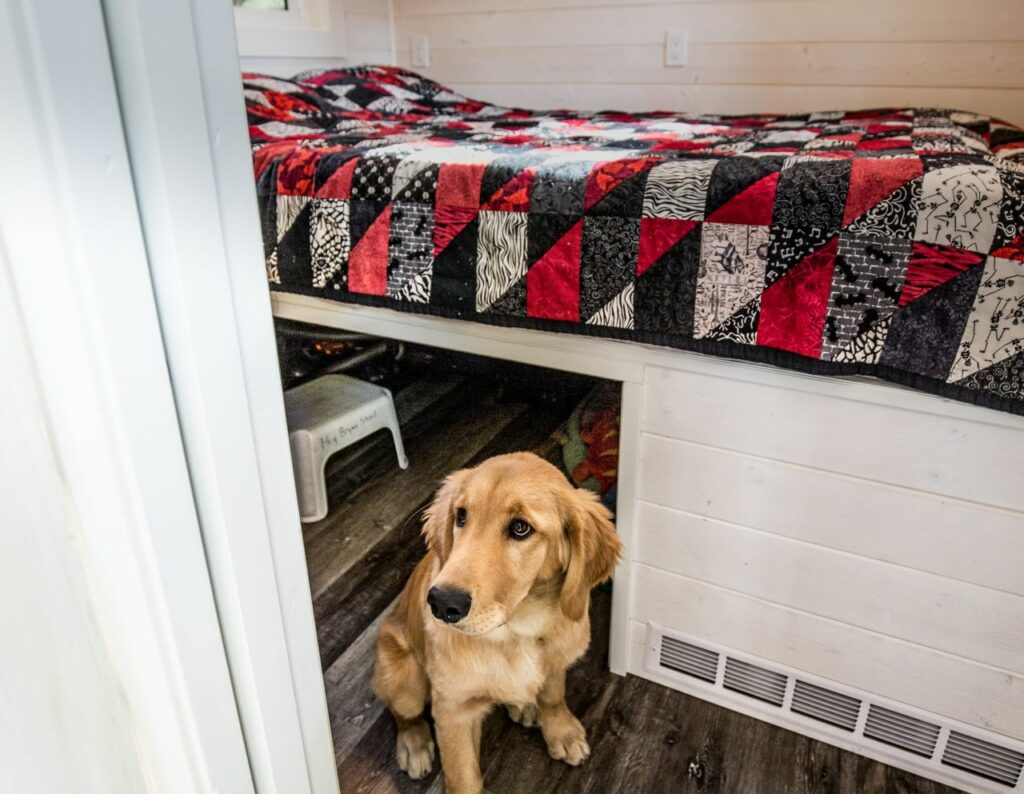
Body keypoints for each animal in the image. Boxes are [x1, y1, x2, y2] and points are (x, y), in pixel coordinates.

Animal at [372, 452, 618, 794]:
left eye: (520, 527)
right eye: (461, 516)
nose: (441, 603)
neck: (517, 632)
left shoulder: (558, 659)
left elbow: (554, 695)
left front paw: (562, 731)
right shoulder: (454, 711)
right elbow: (462, 778)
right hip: (402, 674)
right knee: (404, 713)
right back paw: (414, 744)